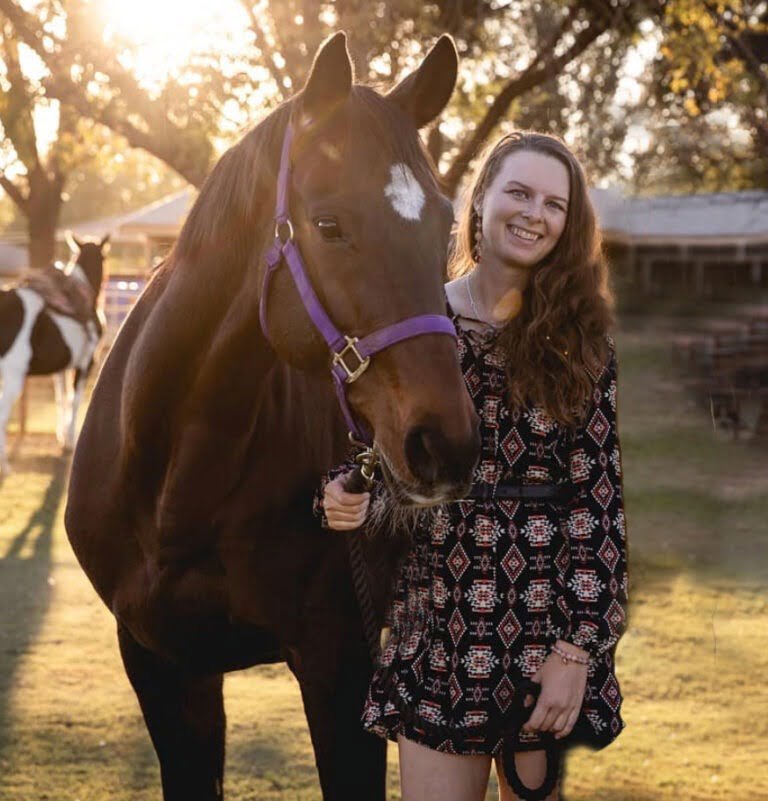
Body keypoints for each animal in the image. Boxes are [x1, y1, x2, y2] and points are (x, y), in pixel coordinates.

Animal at [0, 236, 108, 476]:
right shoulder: (86, 363)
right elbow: (75, 400)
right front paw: (69, 442)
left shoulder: (60, 368)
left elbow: (61, 398)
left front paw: (62, 437)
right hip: (13, 378)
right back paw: (4, 466)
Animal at [67, 32, 480, 800]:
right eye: (329, 224)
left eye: (445, 223)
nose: (446, 444)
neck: (179, 486)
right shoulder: (161, 663)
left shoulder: (341, 665)